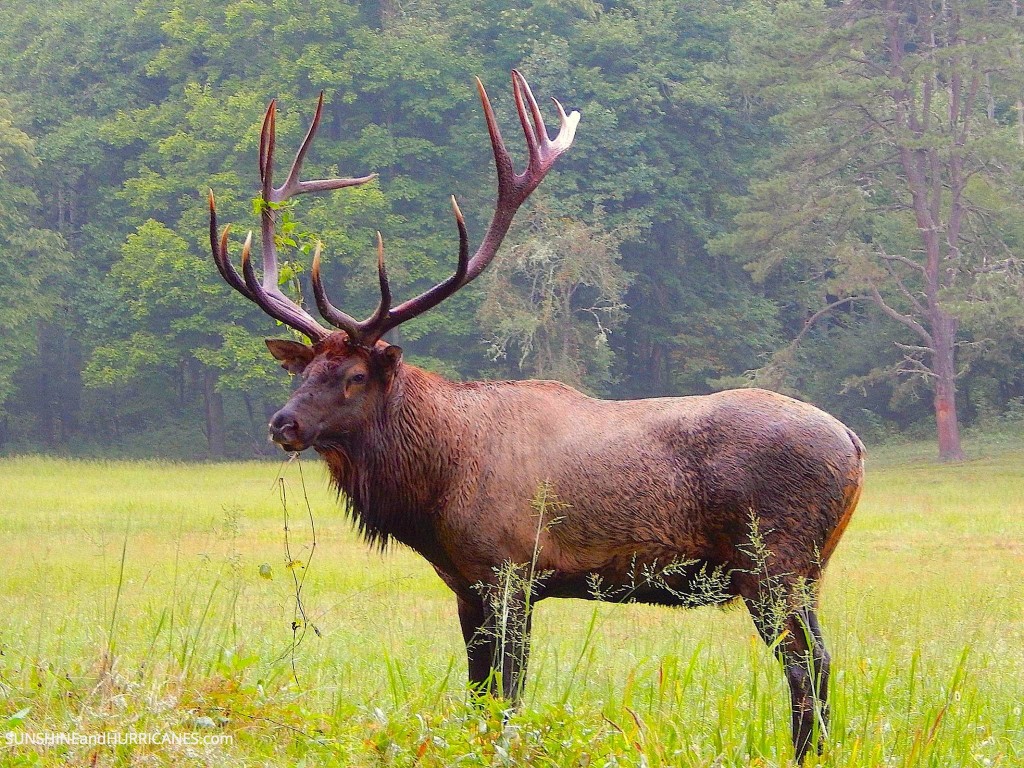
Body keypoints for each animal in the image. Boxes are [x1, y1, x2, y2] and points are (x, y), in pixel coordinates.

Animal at [207, 73, 864, 765]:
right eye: (303, 370)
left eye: (354, 376)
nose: (283, 424)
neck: (436, 484)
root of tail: (853, 443)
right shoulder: (465, 586)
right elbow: (477, 696)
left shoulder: (511, 574)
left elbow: (508, 696)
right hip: (800, 571)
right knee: (817, 664)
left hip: (774, 562)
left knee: (810, 666)